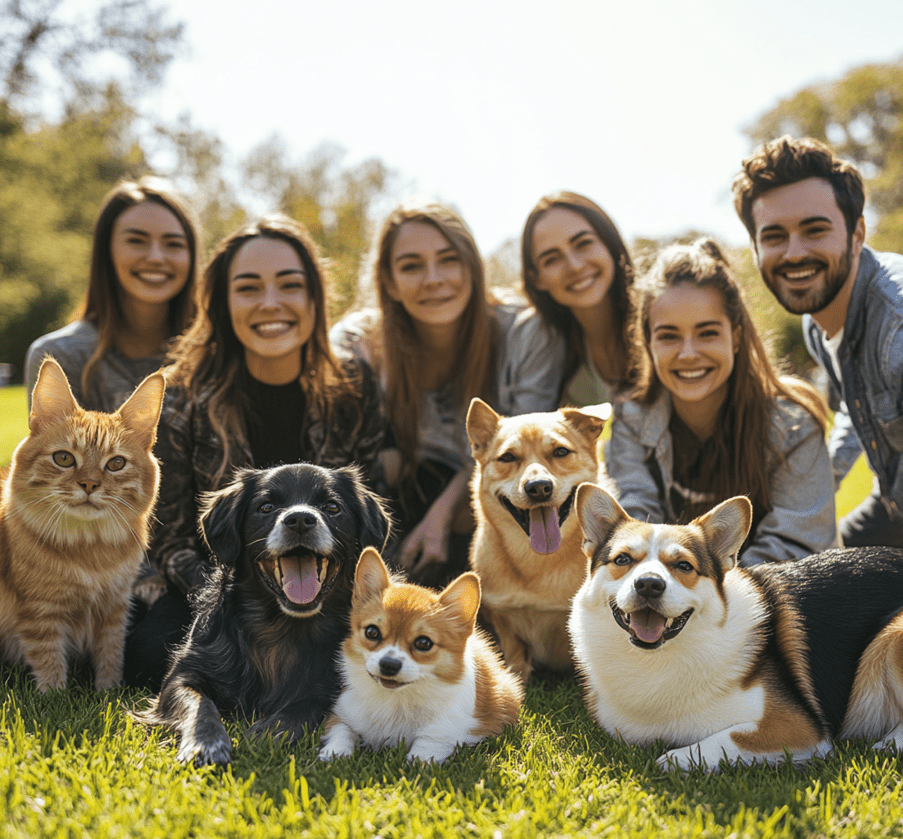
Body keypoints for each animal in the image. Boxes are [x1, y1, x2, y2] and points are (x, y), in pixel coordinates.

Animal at [0, 358, 164, 692]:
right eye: (64, 458)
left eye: (116, 464)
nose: (89, 484)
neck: (90, 548)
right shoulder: (40, 611)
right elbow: (49, 661)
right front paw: (54, 695)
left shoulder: (115, 606)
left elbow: (111, 655)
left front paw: (108, 691)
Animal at [137, 462, 388, 764]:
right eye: (266, 507)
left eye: (332, 506)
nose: (300, 520)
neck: (283, 626)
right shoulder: (184, 674)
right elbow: (199, 704)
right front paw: (205, 743)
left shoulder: (335, 685)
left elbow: (306, 704)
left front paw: (266, 732)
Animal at [320, 548, 524, 764]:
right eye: (372, 632)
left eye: (423, 643)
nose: (388, 665)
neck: (398, 699)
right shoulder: (342, 714)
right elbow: (342, 731)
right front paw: (335, 752)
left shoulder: (452, 729)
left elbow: (429, 742)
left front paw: (418, 761)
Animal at [466, 398, 616, 684]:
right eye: (507, 457)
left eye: (560, 452)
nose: (538, 487)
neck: (537, 561)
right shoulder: (505, 620)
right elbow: (515, 661)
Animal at [572, 486, 903, 776]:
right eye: (623, 559)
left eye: (684, 566)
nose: (649, 585)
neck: (657, 659)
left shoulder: (795, 726)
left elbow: (722, 739)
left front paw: (676, 758)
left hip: (889, 637)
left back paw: (888, 744)